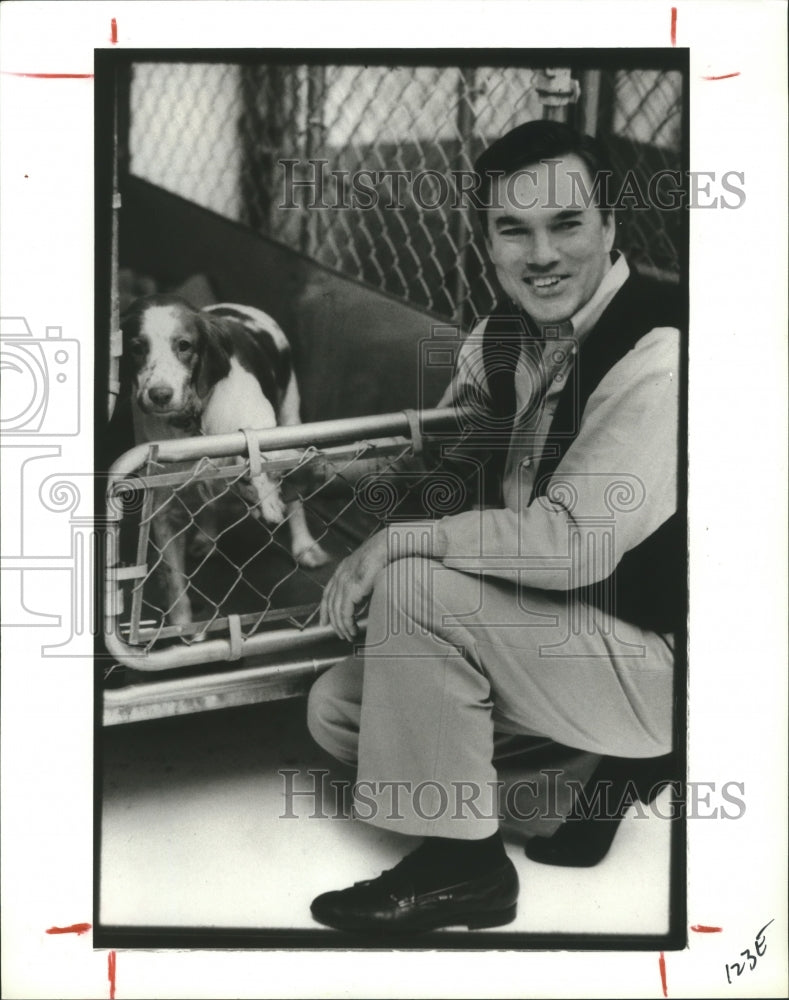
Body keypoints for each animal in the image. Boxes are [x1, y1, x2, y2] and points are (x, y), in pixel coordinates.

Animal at [119, 292, 326, 628]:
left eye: (184, 345)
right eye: (137, 347)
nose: (160, 395)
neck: (193, 418)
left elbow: (262, 460)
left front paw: (268, 498)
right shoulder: (164, 506)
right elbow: (174, 579)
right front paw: (184, 628)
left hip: (290, 413)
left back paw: (305, 546)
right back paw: (207, 537)